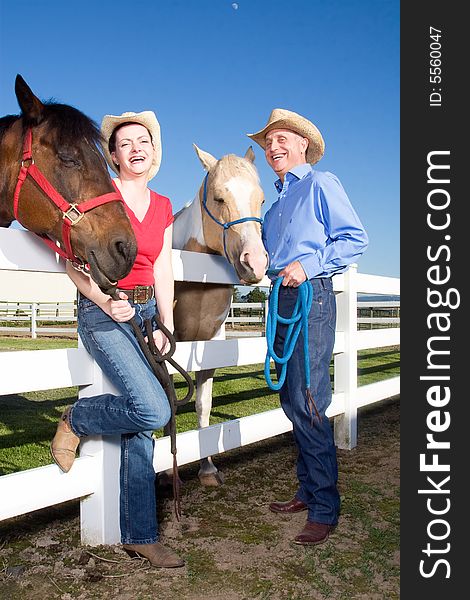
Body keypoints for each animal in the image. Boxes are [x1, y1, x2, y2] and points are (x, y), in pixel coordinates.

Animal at [173, 143, 268, 486]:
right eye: (218, 197)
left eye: (261, 199)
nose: (255, 262)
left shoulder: (209, 343)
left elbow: (203, 405)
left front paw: (207, 467)